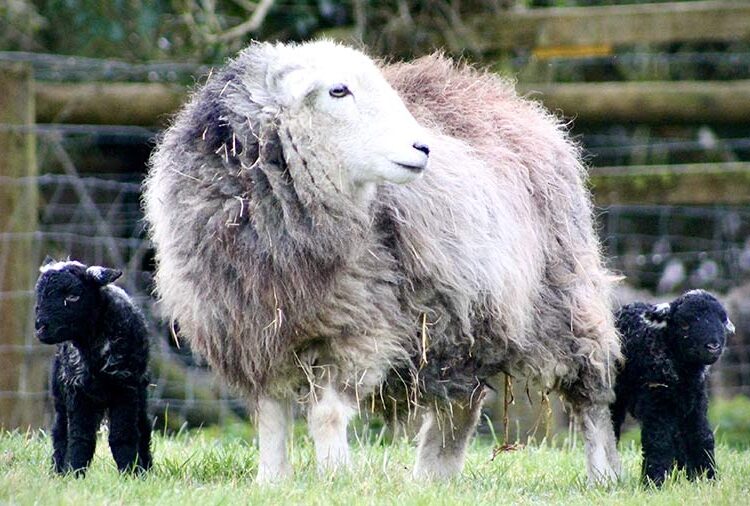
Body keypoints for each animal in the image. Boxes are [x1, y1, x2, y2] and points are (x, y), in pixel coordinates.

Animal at [34, 258, 152, 476]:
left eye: (73, 296)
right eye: (40, 295)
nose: (40, 328)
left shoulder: (126, 389)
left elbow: (122, 436)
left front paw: (130, 472)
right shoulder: (77, 391)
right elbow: (80, 438)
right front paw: (75, 472)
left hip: (140, 391)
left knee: (143, 426)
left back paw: (146, 469)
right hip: (60, 394)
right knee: (61, 431)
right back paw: (58, 471)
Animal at [143, 40, 622, 483]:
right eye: (338, 90)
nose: (423, 147)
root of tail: (507, 97)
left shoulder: (358, 326)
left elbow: (326, 413)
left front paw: (335, 476)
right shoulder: (256, 332)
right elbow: (272, 416)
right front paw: (272, 480)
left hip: (560, 295)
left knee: (591, 392)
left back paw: (604, 473)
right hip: (456, 321)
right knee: (461, 403)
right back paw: (432, 480)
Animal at [610, 289, 733, 485]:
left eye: (722, 320)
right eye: (684, 324)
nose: (713, 347)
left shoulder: (696, 401)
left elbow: (702, 436)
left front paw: (708, 478)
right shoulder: (656, 401)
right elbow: (659, 441)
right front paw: (653, 482)